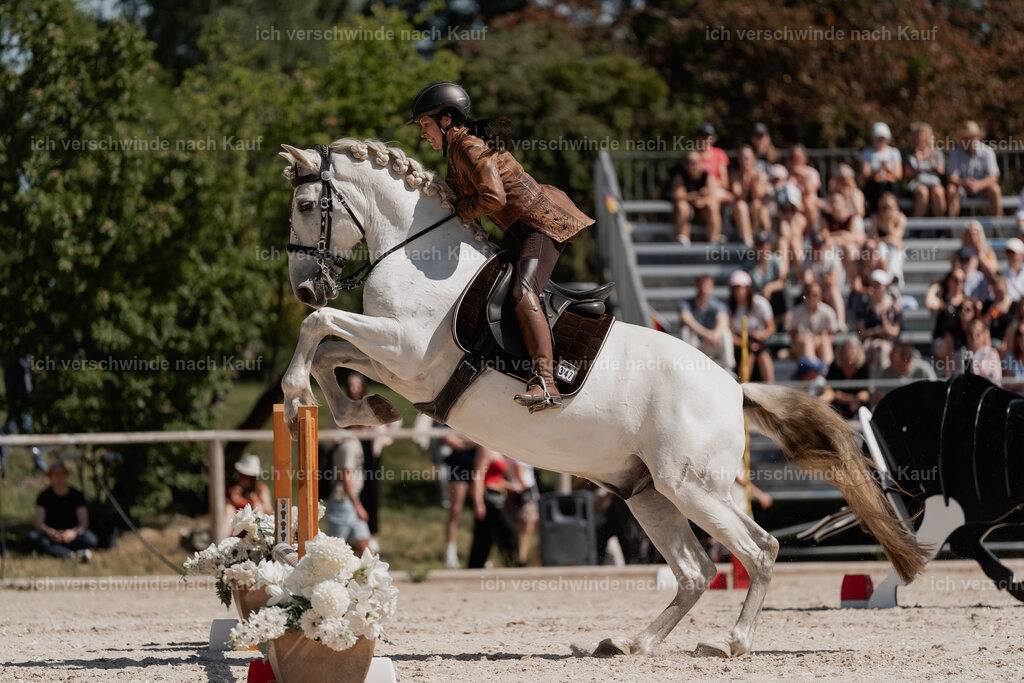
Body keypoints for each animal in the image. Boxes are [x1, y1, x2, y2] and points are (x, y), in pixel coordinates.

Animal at [277, 139, 928, 658]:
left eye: (307, 207)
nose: (305, 287)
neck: (415, 256)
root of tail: (734, 388)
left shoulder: (408, 352)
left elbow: (320, 329)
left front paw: (296, 390)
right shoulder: (400, 364)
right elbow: (331, 350)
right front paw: (361, 410)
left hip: (691, 486)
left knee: (758, 549)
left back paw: (731, 643)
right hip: (648, 493)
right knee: (696, 572)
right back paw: (631, 643)